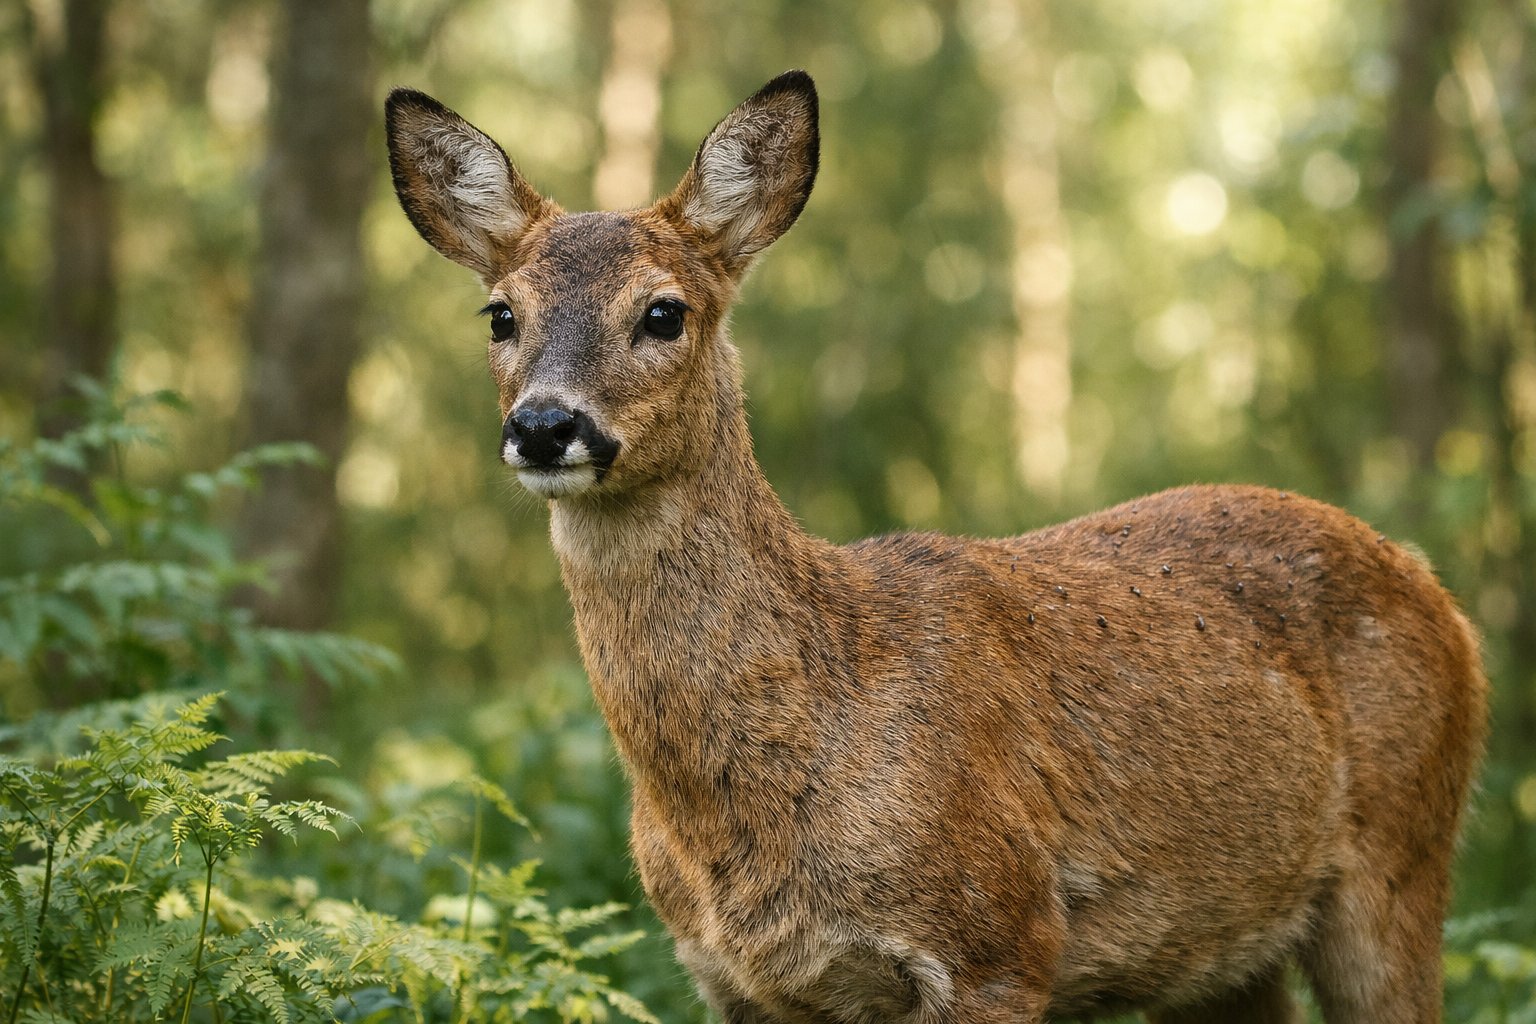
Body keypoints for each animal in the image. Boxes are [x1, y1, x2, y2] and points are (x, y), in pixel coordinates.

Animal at [384, 71, 1487, 1023]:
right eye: (501, 313)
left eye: (664, 311)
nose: (544, 425)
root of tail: (1442, 596)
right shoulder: (736, 980)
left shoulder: (998, 938)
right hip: (1221, 953)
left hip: (1402, 859)